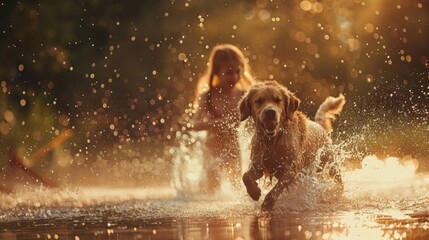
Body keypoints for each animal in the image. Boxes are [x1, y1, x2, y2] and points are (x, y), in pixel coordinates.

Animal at [237, 81, 344, 212]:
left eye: (278, 100)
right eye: (259, 101)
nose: (270, 112)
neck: (272, 142)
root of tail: (319, 126)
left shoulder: (291, 170)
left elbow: (276, 190)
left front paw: (267, 204)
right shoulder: (259, 165)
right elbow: (245, 176)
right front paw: (254, 192)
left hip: (330, 166)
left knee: (338, 182)